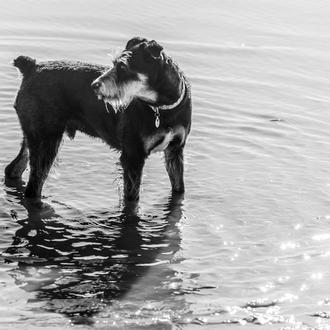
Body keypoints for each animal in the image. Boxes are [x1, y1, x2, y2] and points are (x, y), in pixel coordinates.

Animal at [4, 36, 191, 201]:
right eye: (114, 64)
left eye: (123, 67)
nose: (94, 85)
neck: (162, 108)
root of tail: (31, 67)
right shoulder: (133, 156)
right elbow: (132, 199)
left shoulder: (175, 151)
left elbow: (179, 188)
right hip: (47, 141)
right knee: (33, 185)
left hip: (35, 134)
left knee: (14, 167)